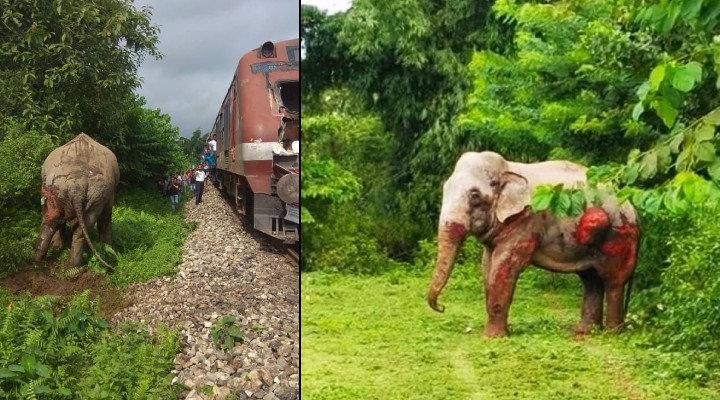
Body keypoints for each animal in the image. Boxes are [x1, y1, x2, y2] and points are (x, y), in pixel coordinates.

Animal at [424, 152, 640, 338]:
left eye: (475, 196)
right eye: (445, 188)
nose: (442, 307)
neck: (508, 167)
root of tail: (634, 208)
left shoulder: (527, 221)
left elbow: (505, 267)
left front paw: (492, 338)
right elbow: (488, 267)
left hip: (619, 236)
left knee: (613, 281)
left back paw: (612, 334)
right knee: (591, 280)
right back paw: (585, 332)